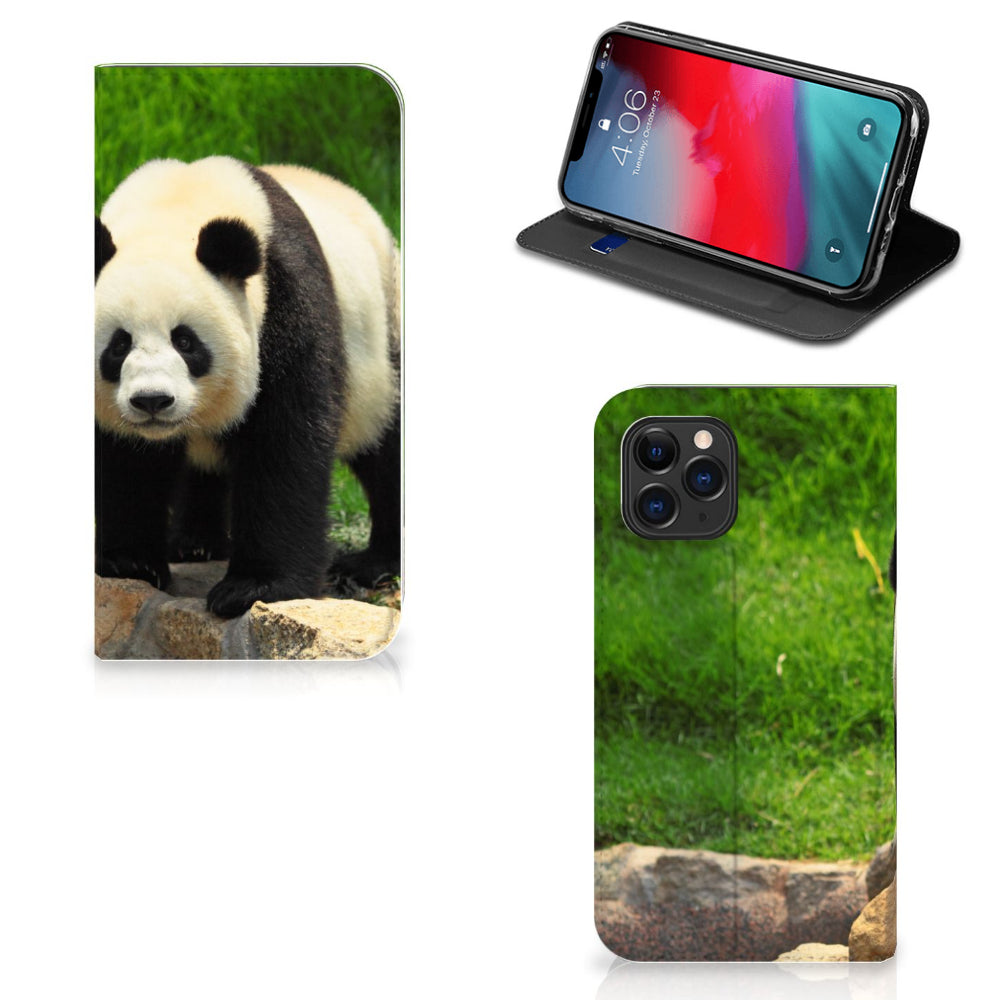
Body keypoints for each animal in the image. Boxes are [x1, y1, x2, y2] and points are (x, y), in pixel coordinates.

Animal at [95, 156, 400, 619]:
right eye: (118, 345)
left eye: (185, 341)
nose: (152, 401)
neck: (174, 206)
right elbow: (126, 458)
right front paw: (128, 562)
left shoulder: (285, 301)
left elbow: (284, 443)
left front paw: (254, 587)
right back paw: (195, 543)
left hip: (384, 338)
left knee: (387, 446)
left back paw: (374, 563)